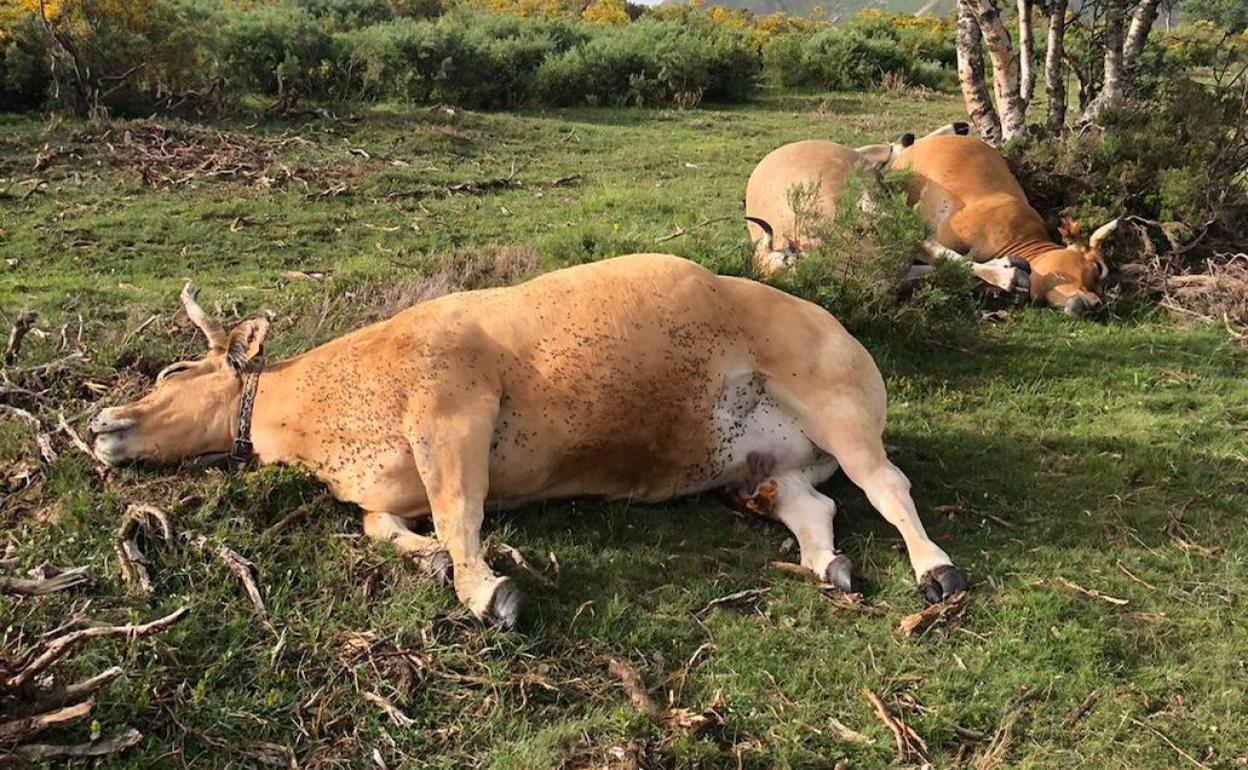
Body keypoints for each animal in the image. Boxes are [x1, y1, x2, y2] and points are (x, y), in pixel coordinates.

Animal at [90, 255, 963, 626]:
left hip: (840, 405)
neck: (319, 406)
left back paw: (935, 570)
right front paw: (430, 560)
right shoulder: (388, 485)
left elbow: (459, 513)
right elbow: (385, 525)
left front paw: (483, 587)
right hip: (755, 468)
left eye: (172, 368)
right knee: (814, 506)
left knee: (888, 486)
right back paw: (828, 564)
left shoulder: (453, 412)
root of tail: (835, 322)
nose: (98, 424)